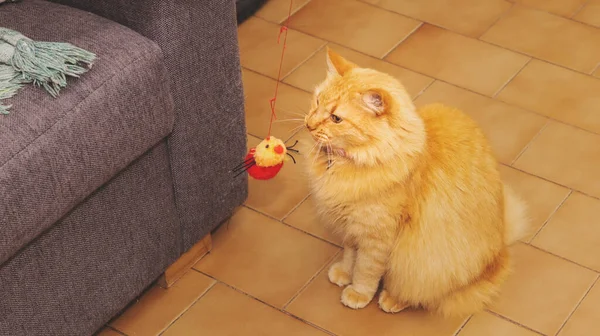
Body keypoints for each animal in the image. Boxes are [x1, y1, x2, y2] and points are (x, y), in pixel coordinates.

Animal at [304, 48, 528, 318]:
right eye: (317, 102)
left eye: (336, 118)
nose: (309, 124)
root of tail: (500, 249)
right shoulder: (351, 228)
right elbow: (350, 256)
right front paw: (344, 273)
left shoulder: (376, 237)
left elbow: (366, 270)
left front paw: (358, 293)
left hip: (422, 263)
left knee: (419, 294)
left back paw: (392, 299)